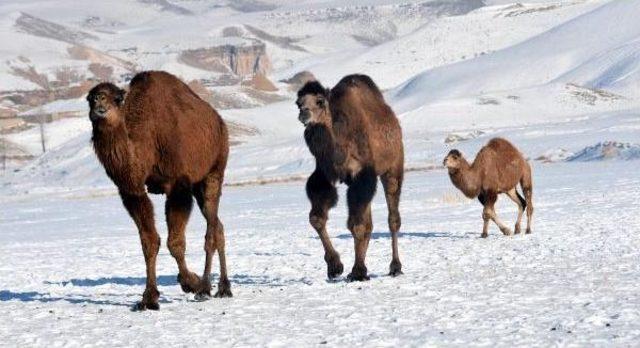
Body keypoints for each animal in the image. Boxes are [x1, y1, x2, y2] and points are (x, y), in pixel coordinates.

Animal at [87, 70, 231, 310]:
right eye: (89, 98)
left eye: (117, 98)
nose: (100, 102)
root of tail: (220, 122)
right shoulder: (132, 190)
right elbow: (149, 241)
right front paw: (148, 298)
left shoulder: (178, 184)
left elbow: (175, 242)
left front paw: (190, 283)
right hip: (198, 185)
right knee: (218, 225)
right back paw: (222, 287)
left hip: (214, 170)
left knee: (211, 230)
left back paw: (209, 287)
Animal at [296, 75, 404, 282]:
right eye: (298, 103)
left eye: (320, 101)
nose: (304, 114)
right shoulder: (325, 175)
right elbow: (316, 218)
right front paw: (335, 266)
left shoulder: (363, 175)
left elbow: (357, 224)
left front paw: (358, 271)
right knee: (369, 221)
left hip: (393, 167)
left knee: (393, 217)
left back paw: (395, 267)